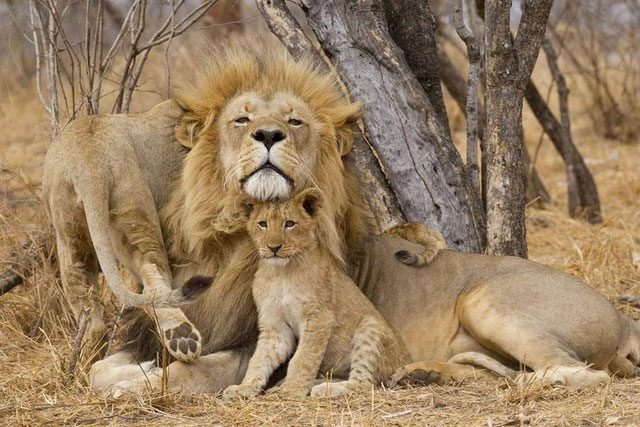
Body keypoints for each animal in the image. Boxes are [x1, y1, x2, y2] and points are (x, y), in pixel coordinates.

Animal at [87, 42, 636, 394]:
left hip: (486, 302)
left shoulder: (251, 346)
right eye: (241, 120)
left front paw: (137, 387)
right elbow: (100, 368)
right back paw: (426, 373)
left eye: (294, 121)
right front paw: (126, 375)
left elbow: (189, 374)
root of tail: (622, 316)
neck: (232, 241)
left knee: (580, 373)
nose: (268, 134)